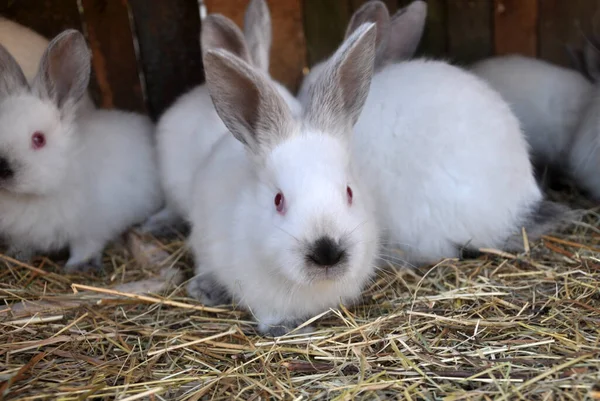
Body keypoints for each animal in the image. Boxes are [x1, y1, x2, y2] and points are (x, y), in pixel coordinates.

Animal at [0, 29, 162, 270]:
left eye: (39, 139)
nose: (2, 169)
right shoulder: (23, 235)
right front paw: (16, 256)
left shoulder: (91, 230)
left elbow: (85, 248)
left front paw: (73, 267)